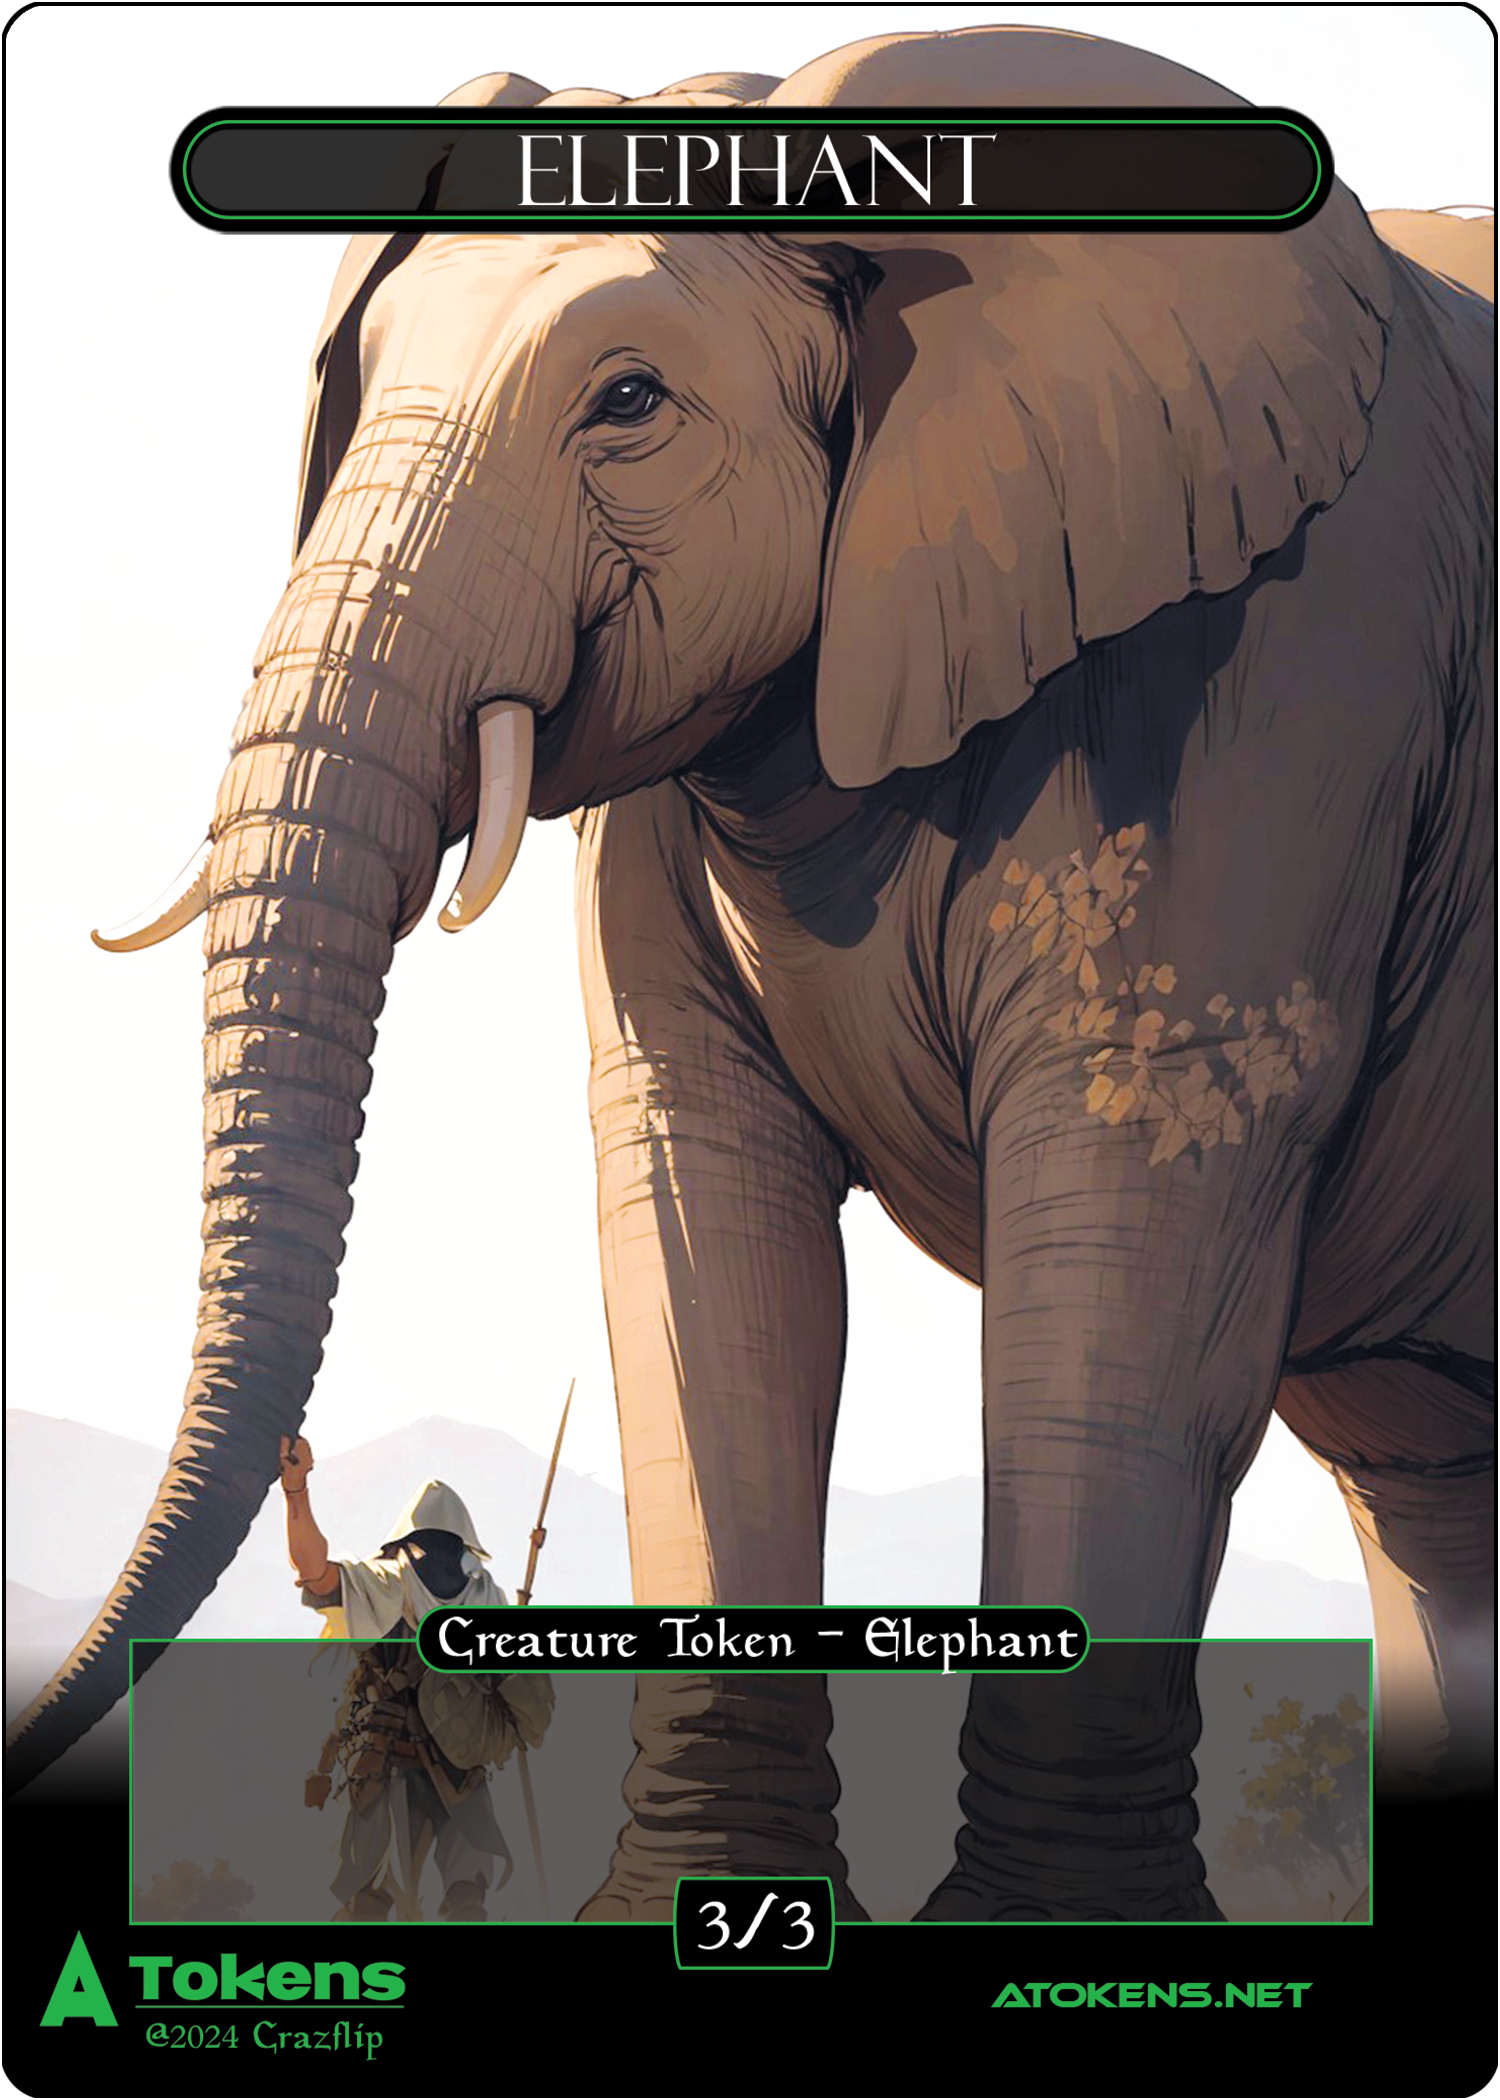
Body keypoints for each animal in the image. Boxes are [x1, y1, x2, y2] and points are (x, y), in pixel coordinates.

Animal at [9, 27, 1494, 1923]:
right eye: (356, 391)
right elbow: (703, 1220)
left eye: (630, 403)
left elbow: (1127, 1214)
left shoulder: (1274, 677)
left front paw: (1043, 1936)